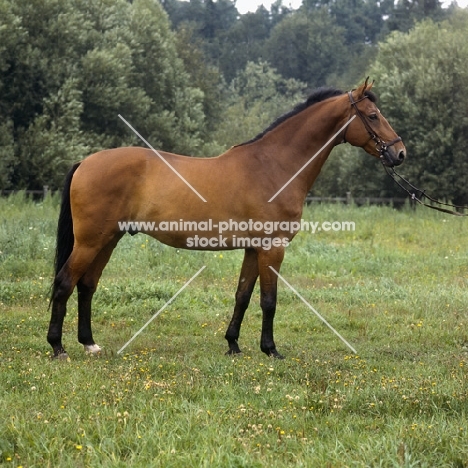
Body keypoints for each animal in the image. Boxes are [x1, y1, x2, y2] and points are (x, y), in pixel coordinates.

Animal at [46, 79, 406, 358]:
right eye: (373, 116)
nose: (400, 153)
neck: (274, 166)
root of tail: (85, 162)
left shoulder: (253, 249)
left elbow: (243, 296)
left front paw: (233, 344)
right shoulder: (272, 248)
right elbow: (269, 300)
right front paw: (270, 349)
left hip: (108, 239)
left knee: (87, 285)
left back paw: (89, 343)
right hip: (90, 241)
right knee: (65, 283)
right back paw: (58, 347)